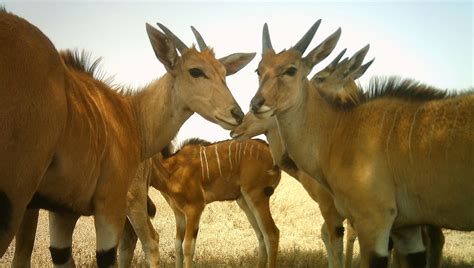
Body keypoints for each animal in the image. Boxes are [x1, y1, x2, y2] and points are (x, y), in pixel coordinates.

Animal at [0, 8, 256, 266]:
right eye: (195, 71)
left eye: (224, 73)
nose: (237, 113)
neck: (129, 113)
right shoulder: (106, 203)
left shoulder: (64, 210)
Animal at [250, 20, 472, 268]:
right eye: (258, 70)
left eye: (291, 70)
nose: (256, 103)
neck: (339, 129)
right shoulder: (406, 229)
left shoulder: (372, 221)